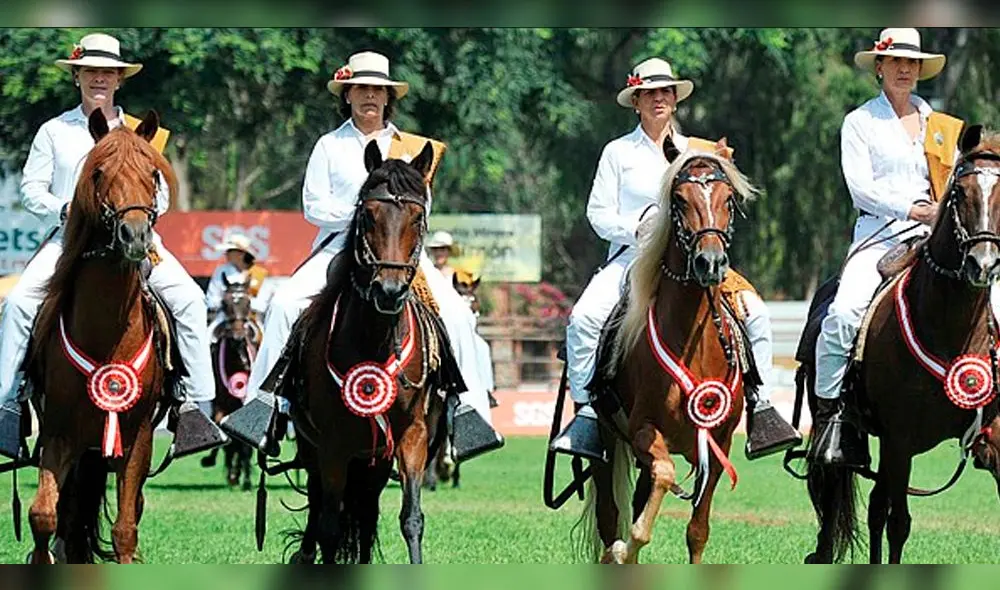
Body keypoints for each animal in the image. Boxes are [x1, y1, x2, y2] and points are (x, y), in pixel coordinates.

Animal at [25, 110, 175, 563]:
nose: (135, 236)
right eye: (99, 172)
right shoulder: (58, 434)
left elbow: (125, 527)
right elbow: (44, 515)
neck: (108, 334)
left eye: (153, 174)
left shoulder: (139, 436)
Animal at [202, 272, 259, 490]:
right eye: (224, 303)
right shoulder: (220, 402)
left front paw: (247, 480)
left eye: (248, 302)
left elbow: (244, 443)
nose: (237, 338)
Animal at [278, 140, 450, 564]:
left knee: (366, 514)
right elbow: (329, 527)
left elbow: (411, 518)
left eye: (418, 216)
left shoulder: (411, 436)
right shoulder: (332, 446)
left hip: (374, 461)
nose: (388, 291)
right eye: (368, 214)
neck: (373, 340)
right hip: (316, 451)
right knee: (321, 515)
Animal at [577, 146, 760, 564]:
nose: (710, 263)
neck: (694, 345)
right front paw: (626, 547)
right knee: (609, 514)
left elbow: (697, 530)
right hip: (606, 440)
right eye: (679, 200)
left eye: (729, 200)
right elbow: (660, 481)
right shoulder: (644, 430)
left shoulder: (717, 445)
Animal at [797, 124, 1000, 563]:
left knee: (875, 504)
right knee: (840, 492)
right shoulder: (900, 439)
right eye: (960, 193)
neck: (949, 330)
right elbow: (899, 523)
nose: (983, 264)